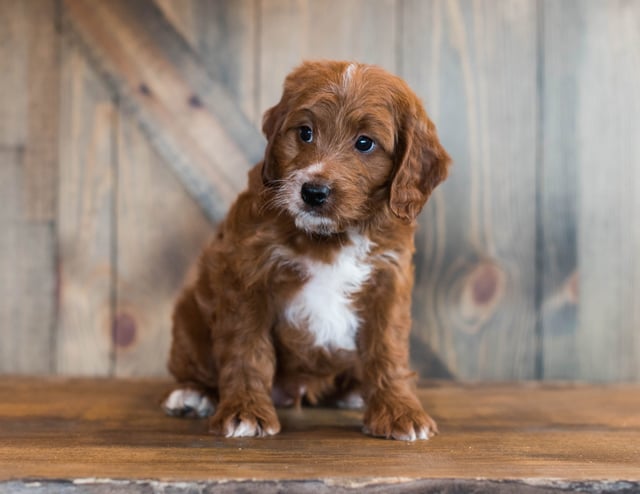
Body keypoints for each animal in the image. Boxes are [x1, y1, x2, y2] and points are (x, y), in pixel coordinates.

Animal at [162, 59, 452, 442]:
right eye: (305, 133)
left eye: (365, 143)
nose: (313, 192)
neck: (330, 235)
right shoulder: (247, 275)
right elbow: (246, 348)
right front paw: (244, 411)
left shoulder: (389, 278)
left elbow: (388, 349)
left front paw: (399, 411)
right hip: (188, 319)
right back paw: (193, 394)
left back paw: (354, 391)